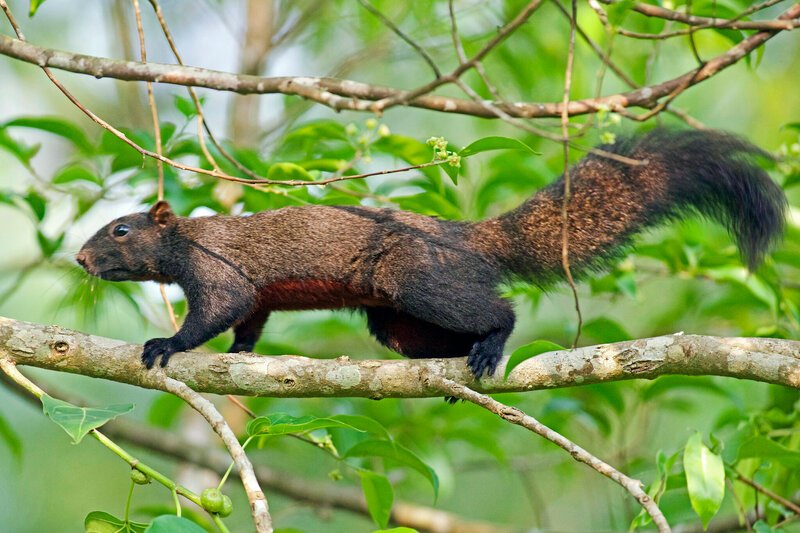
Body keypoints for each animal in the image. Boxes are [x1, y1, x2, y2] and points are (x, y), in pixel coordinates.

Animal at [76, 129, 786, 378]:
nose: (81, 259)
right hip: (395, 320)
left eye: (120, 230)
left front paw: (166, 345)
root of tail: (470, 235)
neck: (188, 239)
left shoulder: (217, 270)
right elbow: (250, 318)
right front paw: (243, 354)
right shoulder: (254, 295)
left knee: (498, 311)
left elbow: (222, 307)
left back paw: (490, 349)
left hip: (420, 279)